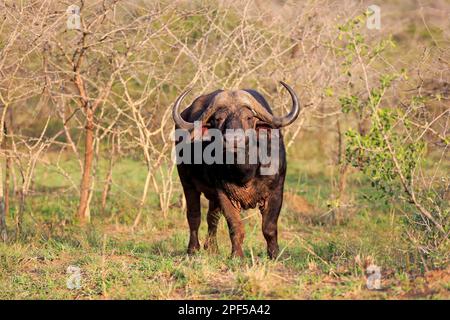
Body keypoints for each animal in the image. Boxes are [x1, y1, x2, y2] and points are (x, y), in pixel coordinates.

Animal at [174, 82, 300, 258]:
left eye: (248, 118)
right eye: (218, 119)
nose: (233, 140)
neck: (245, 172)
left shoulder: (276, 190)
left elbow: (269, 227)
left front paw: (274, 254)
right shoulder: (223, 193)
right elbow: (235, 226)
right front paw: (237, 255)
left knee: (212, 217)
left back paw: (212, 249)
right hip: (187, 183)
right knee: (194, 216)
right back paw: (193, 249)